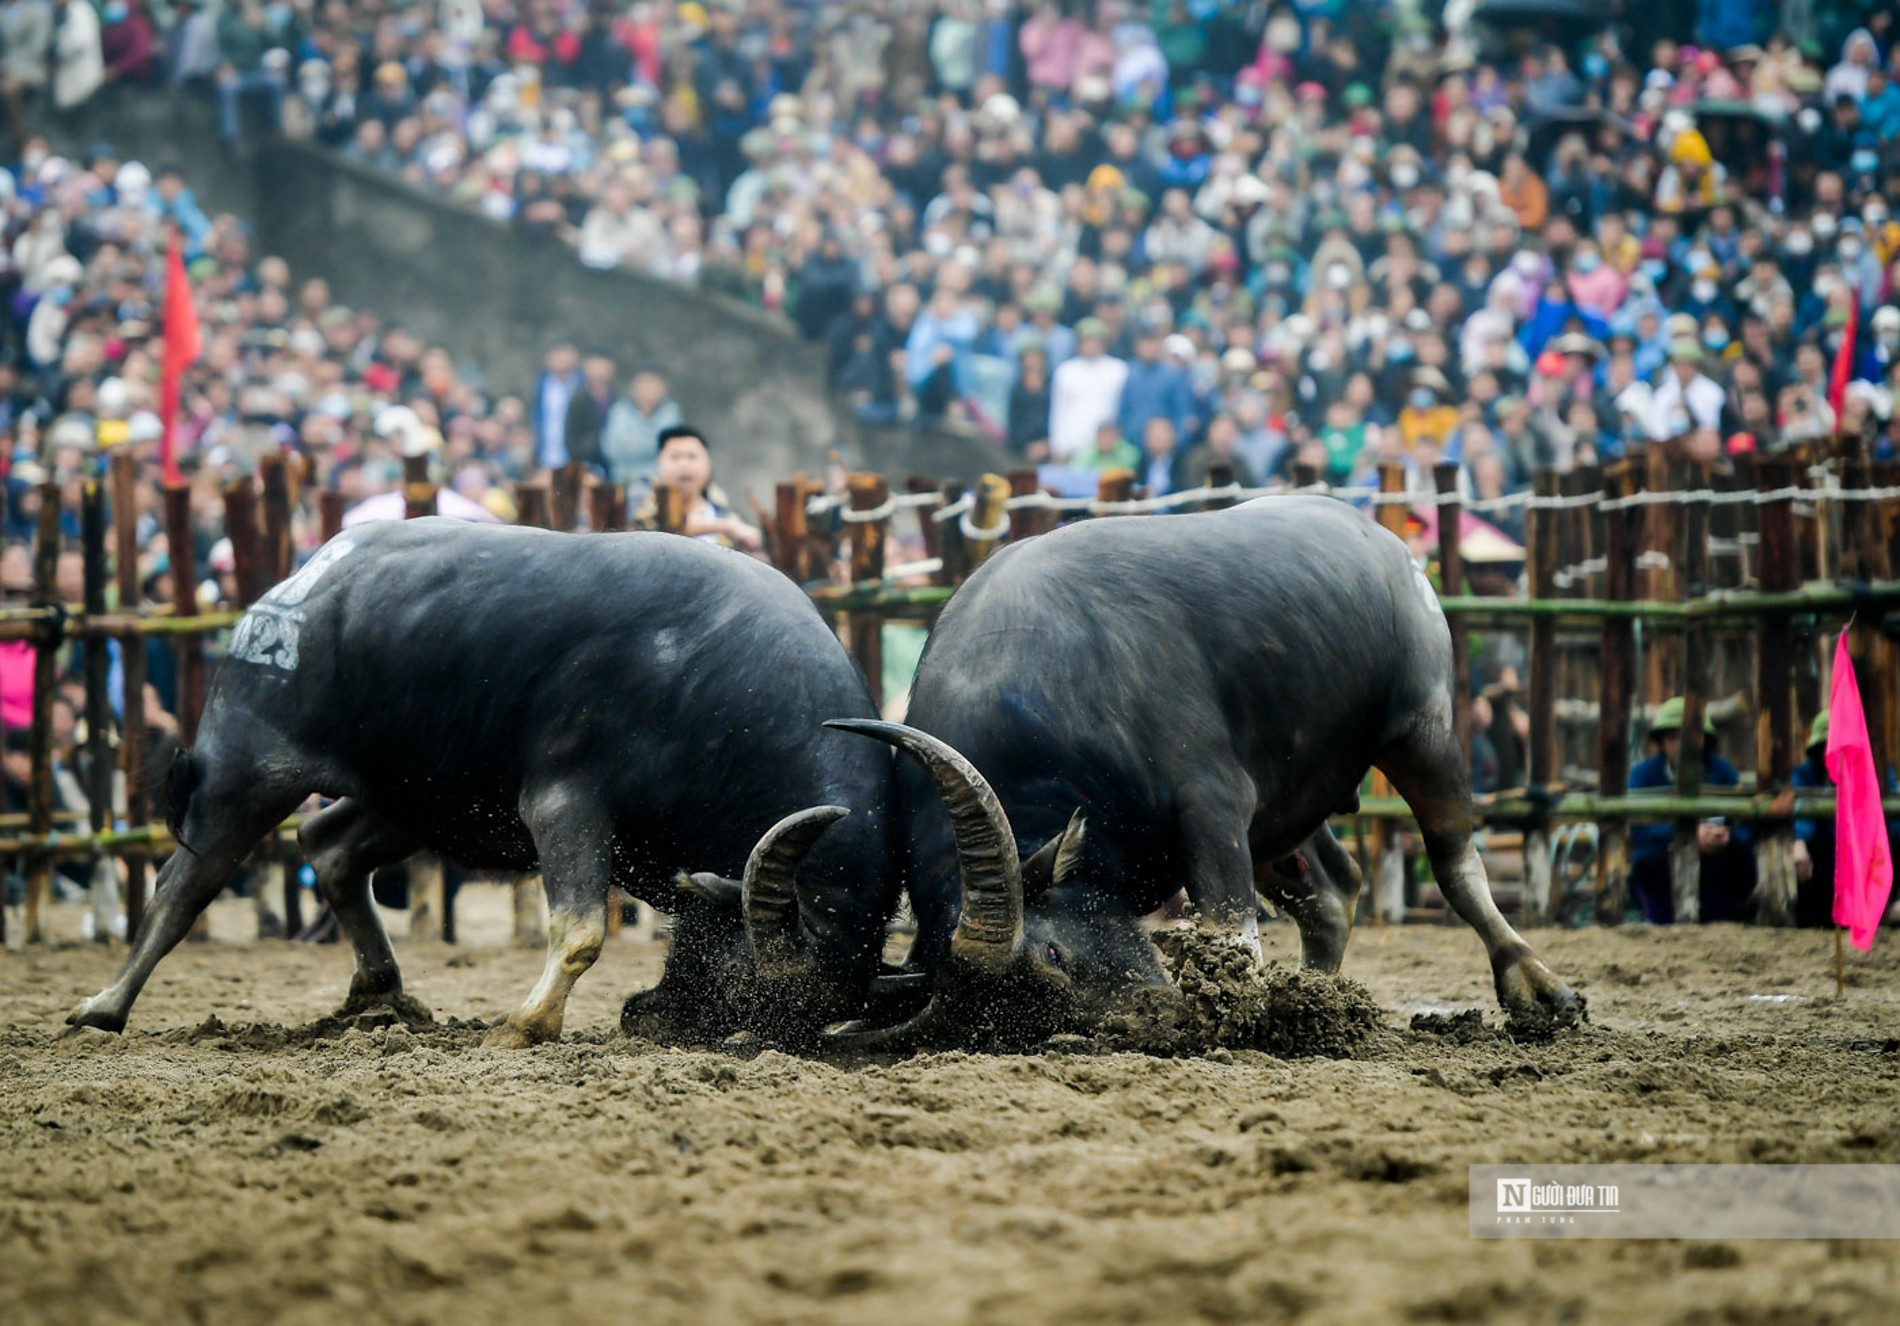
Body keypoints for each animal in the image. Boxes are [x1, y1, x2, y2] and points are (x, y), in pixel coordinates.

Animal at [61, 516, 889, 1041]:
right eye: (751, 986)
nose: (652, 1020)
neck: (709, 689)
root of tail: (301, 581)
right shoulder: (564, 802)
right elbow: (581, 930)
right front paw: (525, 1026)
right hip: (248, 764)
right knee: (184, 884)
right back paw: (103, 1007)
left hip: (416, 797)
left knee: (328, 844)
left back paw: (382, 993)